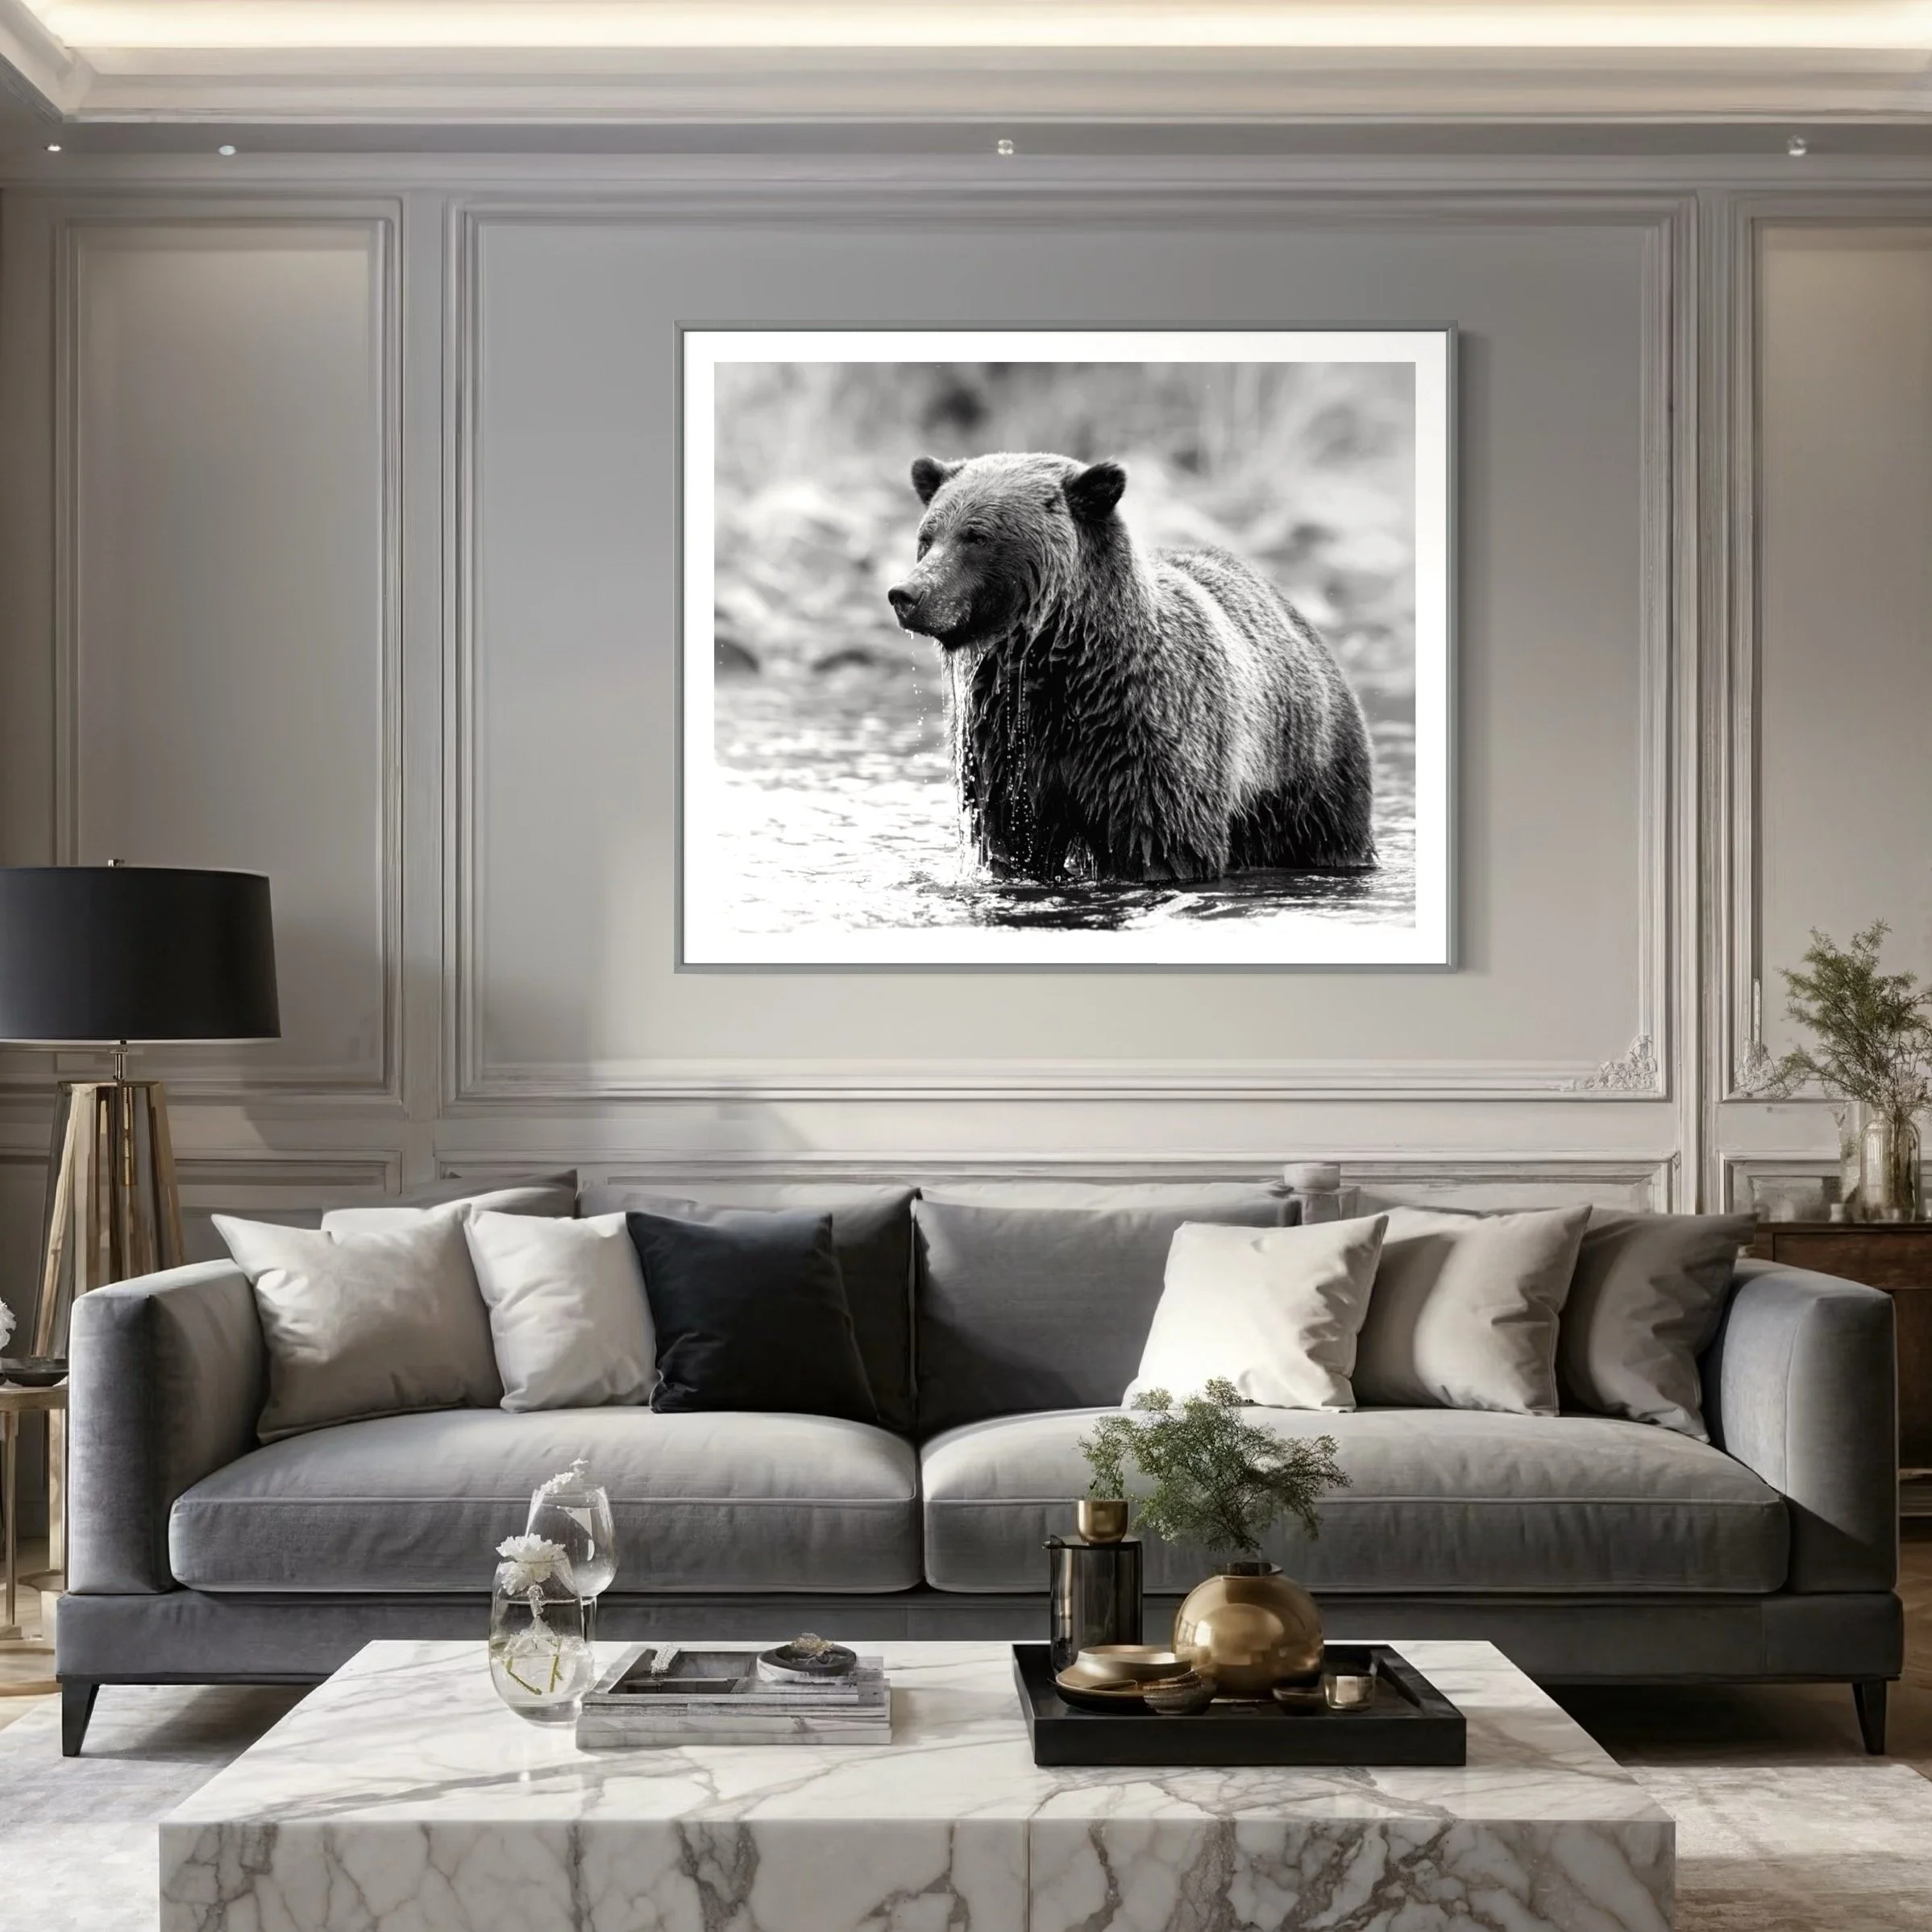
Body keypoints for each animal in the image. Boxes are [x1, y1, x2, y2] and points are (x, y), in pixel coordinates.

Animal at [885, 451, 1377, 885]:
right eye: (928, 537)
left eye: (977, 536)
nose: (906, 594)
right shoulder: (1006, 745)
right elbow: (1012, 840)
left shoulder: (1146, 738)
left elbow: (1162, 843)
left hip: (1306, 769)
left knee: (1325, 834)